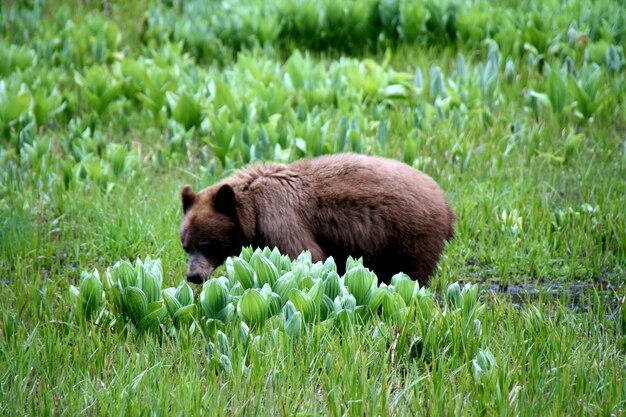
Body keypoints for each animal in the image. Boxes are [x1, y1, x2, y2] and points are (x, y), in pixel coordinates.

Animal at [179, 153, 454, 286]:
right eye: (186, 246)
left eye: (205, 244)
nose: (193, 276)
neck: (252, 209)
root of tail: (445, 202)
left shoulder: (279, 216)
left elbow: (304, 254)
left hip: (409, 233)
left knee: (410, 271)